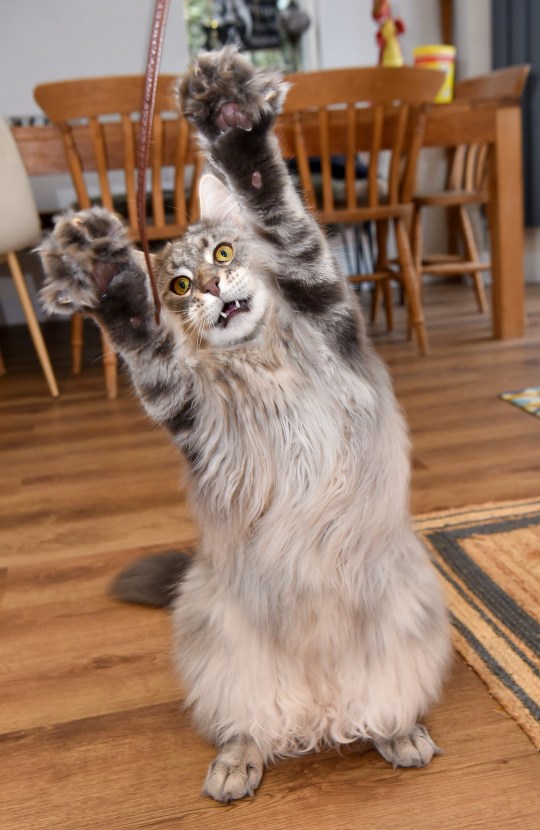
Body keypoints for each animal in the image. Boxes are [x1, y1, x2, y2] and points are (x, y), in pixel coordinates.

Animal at [39, 45, 452, 808]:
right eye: (177, 287)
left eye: (224, 255)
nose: (209, 290)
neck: (265, 367)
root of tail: (321, 712)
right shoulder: (188, 415)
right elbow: (143, 341)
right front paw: (106, 274)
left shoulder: (327, 307)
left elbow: (278, 208)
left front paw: (230, 120)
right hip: (219, 652)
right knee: (248, 727)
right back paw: (236, 765)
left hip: (408, 637)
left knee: (382, 708)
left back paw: (401, 736)